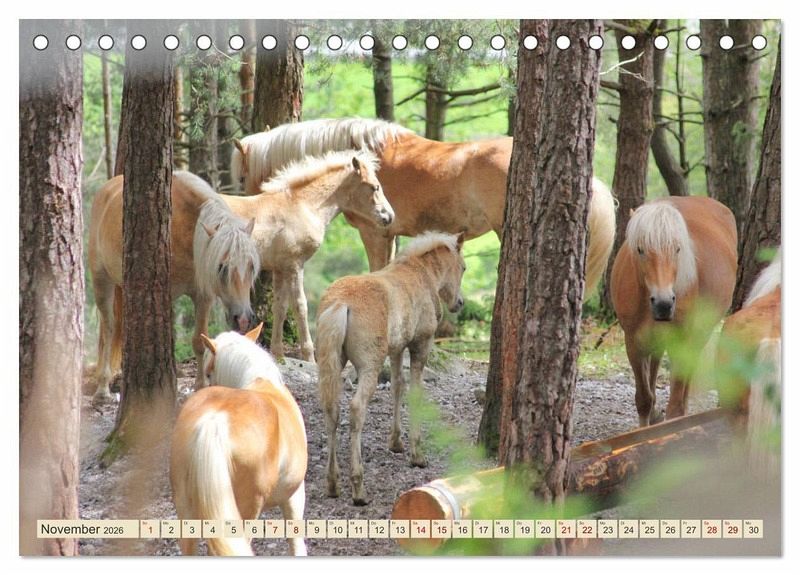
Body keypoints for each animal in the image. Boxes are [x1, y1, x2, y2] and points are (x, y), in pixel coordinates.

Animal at [88, 171, 260, 398]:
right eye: (222, 267)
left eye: (251, 266)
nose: (243, 319)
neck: (188, 232)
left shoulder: (203, 296)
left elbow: (199, 340)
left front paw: (200, 385)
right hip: (101, 280)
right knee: (108, 328)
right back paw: (103, 388)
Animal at [221, 150, 394, 361]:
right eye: (374, 186)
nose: (389, 216)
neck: (302, 206)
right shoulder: (295, 264)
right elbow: (300, 306)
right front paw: (309, 356)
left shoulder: (280, 268)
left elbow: (280, 307)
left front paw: (277, 354)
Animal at [316, 232, 466, 505]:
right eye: (463, 267)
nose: (459, 303)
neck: (421, 274)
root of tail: (340, 304)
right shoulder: (420, 345)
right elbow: (415, 392)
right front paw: (417, 454)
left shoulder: (397, 349)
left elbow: (398, 386)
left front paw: (395, 442)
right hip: (369, 367)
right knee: (356, 409)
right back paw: (358, 488)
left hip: (331, 365)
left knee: (332, 411)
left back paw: (333, 484)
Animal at [610, 196, 737, 427]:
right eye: (640, 249)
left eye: (678, 249)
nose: (663, 303)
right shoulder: (633, 343)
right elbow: (643, 399)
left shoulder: (682, 342)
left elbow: (675, 407)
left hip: (699, 335)